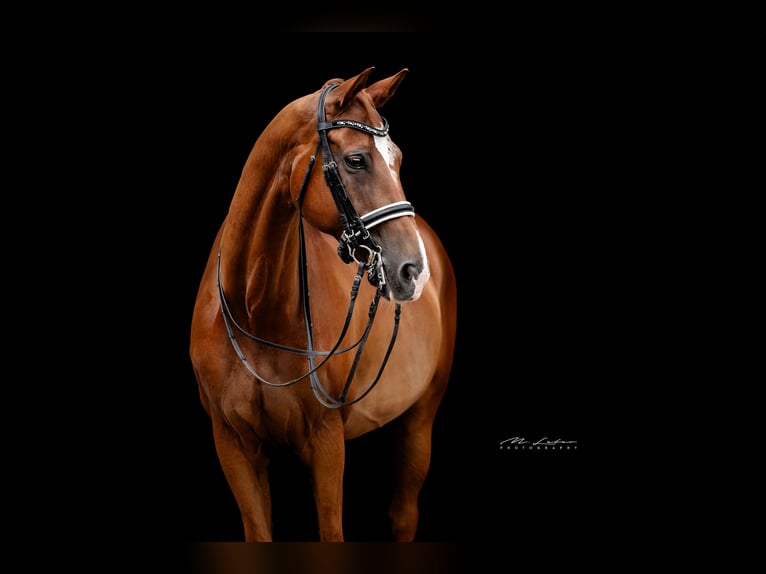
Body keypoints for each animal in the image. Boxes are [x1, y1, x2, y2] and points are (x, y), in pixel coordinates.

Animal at [189, 67, 457, 542]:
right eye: (356, 160)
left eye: (398, 159)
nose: (414, 271)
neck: (253, 311)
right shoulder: (234, 446)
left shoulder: (327, 440)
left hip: (419, 418)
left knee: (404, 513)